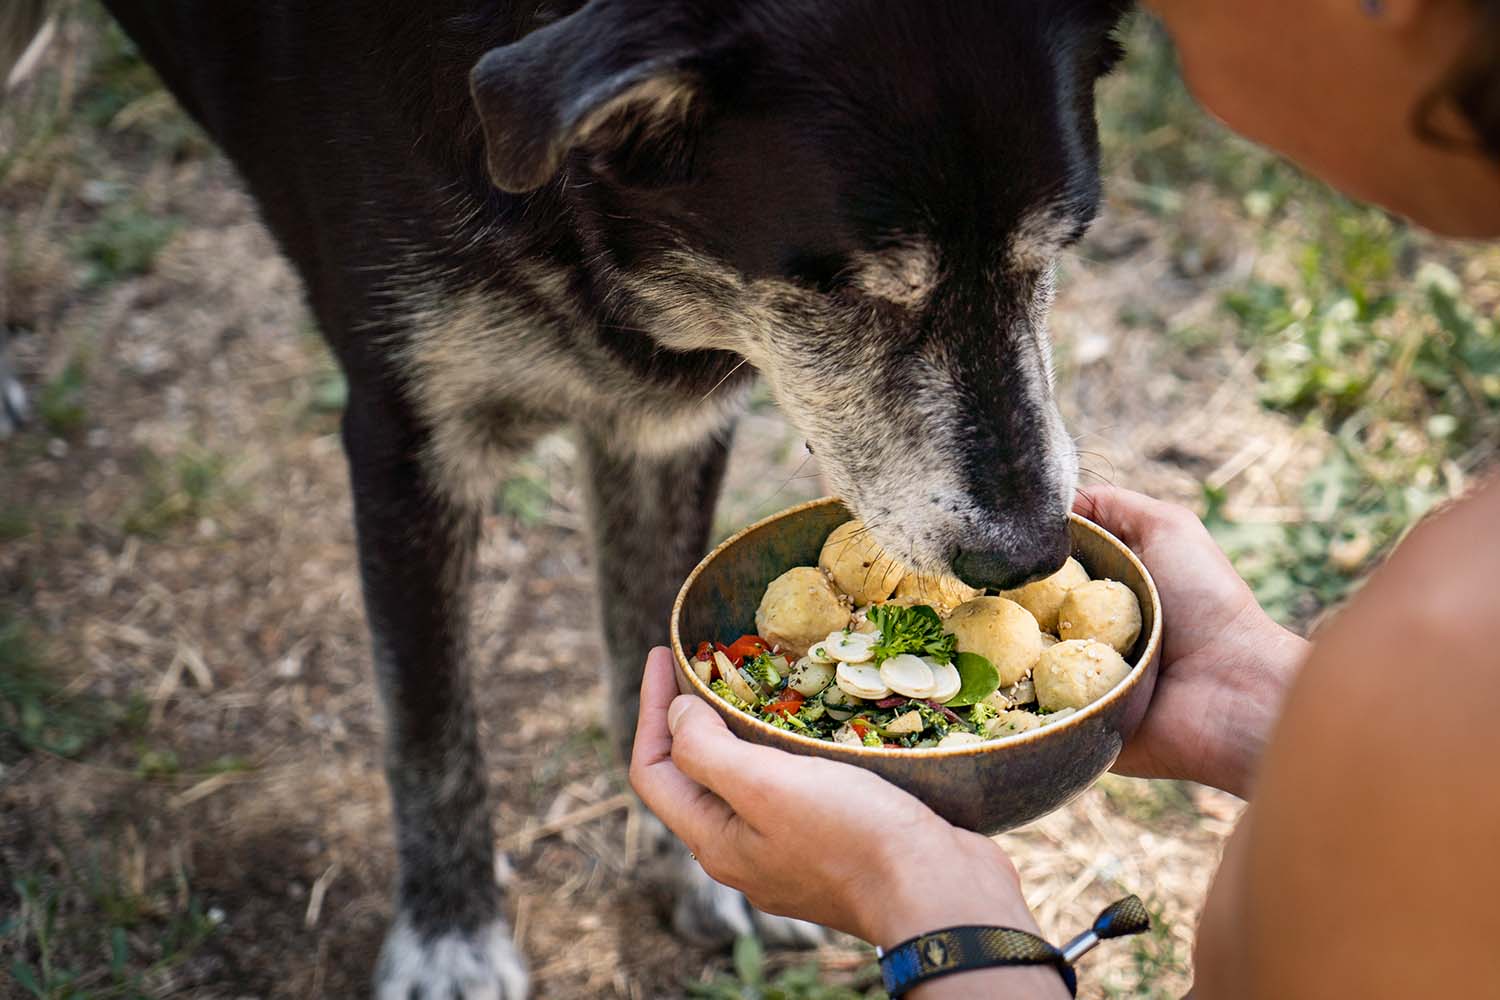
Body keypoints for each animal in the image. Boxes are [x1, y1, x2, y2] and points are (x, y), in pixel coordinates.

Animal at [2, 3, 1128, 995]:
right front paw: (450, 945)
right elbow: (431, 728)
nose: (1029, 553)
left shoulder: (665, 428)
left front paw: (698, 867)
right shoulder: (407, 439)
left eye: (1057, 254)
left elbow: (644, 652)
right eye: (849, 291)